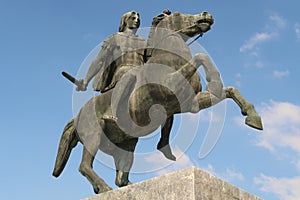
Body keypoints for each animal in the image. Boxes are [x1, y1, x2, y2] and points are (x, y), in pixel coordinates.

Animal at [53, 10, 262, 194]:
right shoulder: (170, 84)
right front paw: (215, 81)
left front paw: (252, 117)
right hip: (94, 135)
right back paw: (103, 187)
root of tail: (78, 115)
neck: (168, 59)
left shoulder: (191, 104)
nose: (206, 15)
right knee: (84, 166)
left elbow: (229, 90)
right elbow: (200, 57)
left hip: (127, 144)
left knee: (120, 178)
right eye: (177, 14)